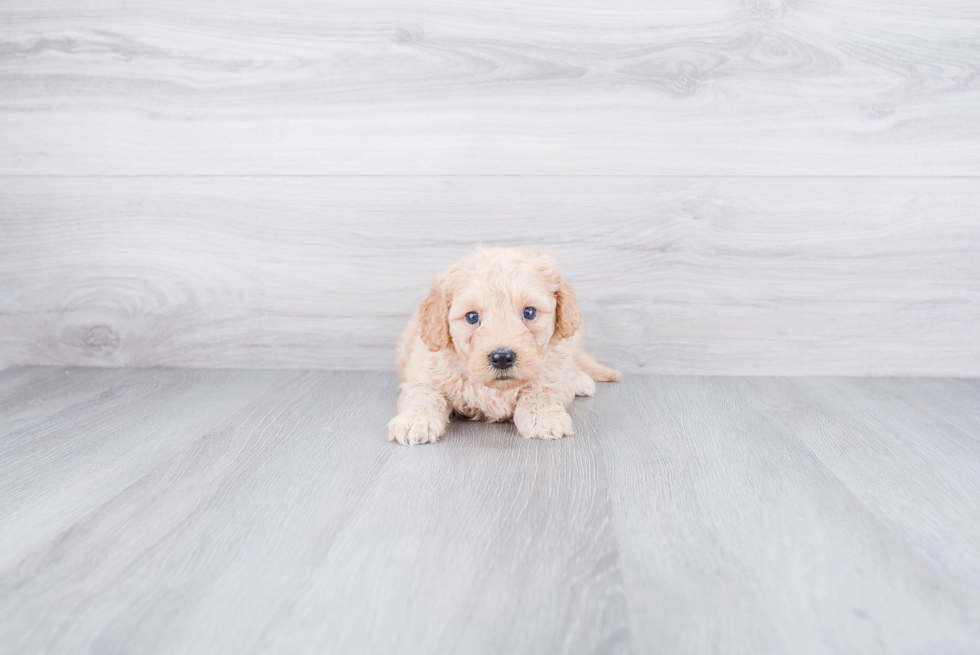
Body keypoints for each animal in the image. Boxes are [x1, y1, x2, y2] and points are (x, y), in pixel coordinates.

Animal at [388, 247, 620, 446]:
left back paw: (580, 380)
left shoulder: (552, 367)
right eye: (472, 317)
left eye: (529, 312)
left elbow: (541, 390)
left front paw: (543, 417)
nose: (501, 358)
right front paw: (414, 421)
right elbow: (423, 396)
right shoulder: (424, 373)